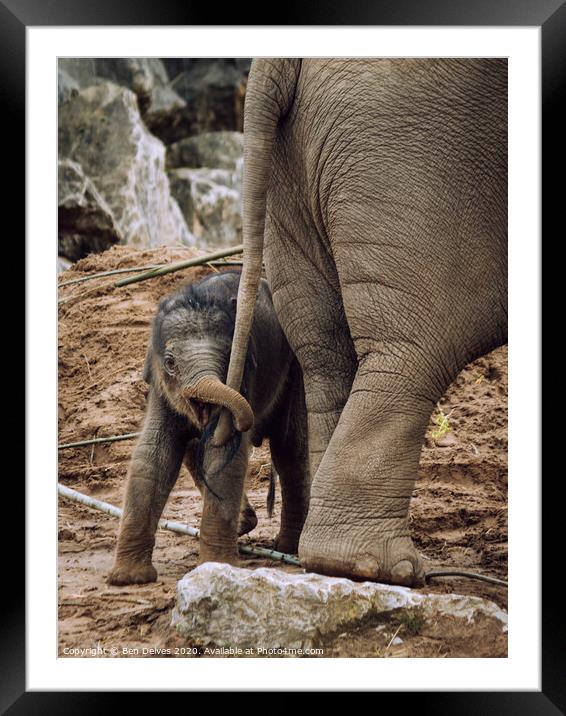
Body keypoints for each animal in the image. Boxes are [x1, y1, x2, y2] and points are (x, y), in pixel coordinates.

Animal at [106, 272, 310, 584]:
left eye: (228, 357)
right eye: (170, 362)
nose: (246, 421)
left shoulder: (244, 377)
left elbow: (225, 457)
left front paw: (216, 565)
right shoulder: (159, 388)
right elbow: (153, 455)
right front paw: (129, 578)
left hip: (294, 371)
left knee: (289, 448)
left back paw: (286, 547)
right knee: (193, 449)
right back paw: (246, 525)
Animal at [214, 58, 510, 588]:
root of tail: (274, 61)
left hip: (293, 184)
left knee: (325, 354)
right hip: (410, 160)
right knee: (415, 350)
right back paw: (383, 567)